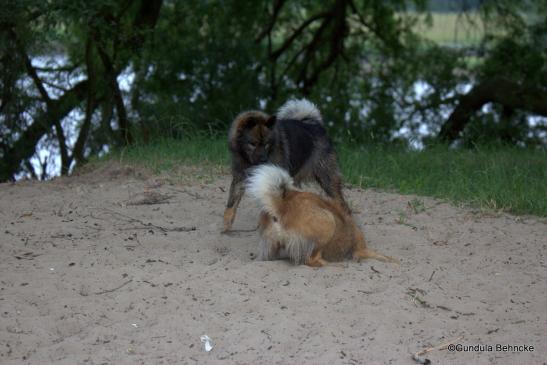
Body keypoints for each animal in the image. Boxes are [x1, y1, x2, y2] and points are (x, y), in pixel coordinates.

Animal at [224, 99, 348, 230]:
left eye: (267, 144)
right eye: (253, 144)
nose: (263, 159)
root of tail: (316, 125)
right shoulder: (239, 178)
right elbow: (231, 203)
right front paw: (226, 225)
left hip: (327, 178)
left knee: (342, 204)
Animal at [248, 164, 398, 266]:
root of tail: (283, 205)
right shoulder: (362, 250)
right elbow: (382, 256)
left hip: (271, 245)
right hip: (328, 223)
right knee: (311, 260)